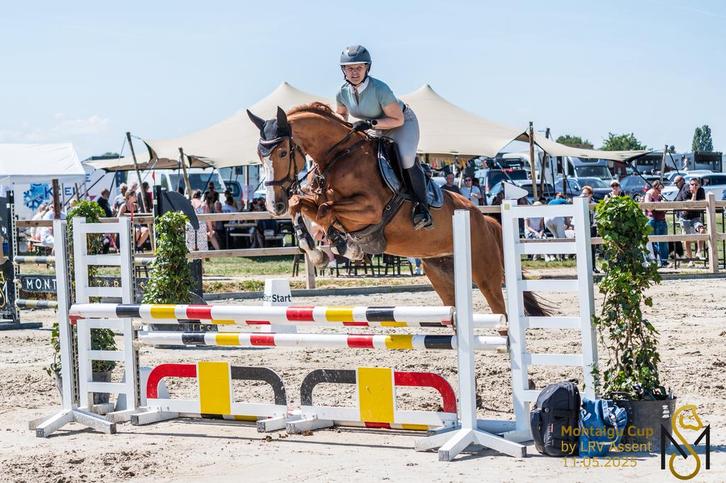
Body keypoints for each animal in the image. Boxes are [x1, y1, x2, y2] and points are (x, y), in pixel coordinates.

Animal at [246, 103, 549, 319]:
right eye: (259, 155)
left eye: (282, 153)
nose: (273, 205)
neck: (338, 156)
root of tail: (484, 219)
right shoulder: (316, 199)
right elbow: (302, 205)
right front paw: (319, 249)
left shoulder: (369, 209)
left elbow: (325, 211)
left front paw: (342, 246)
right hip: (441, 271)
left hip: (484, 272)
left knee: (500, 310)